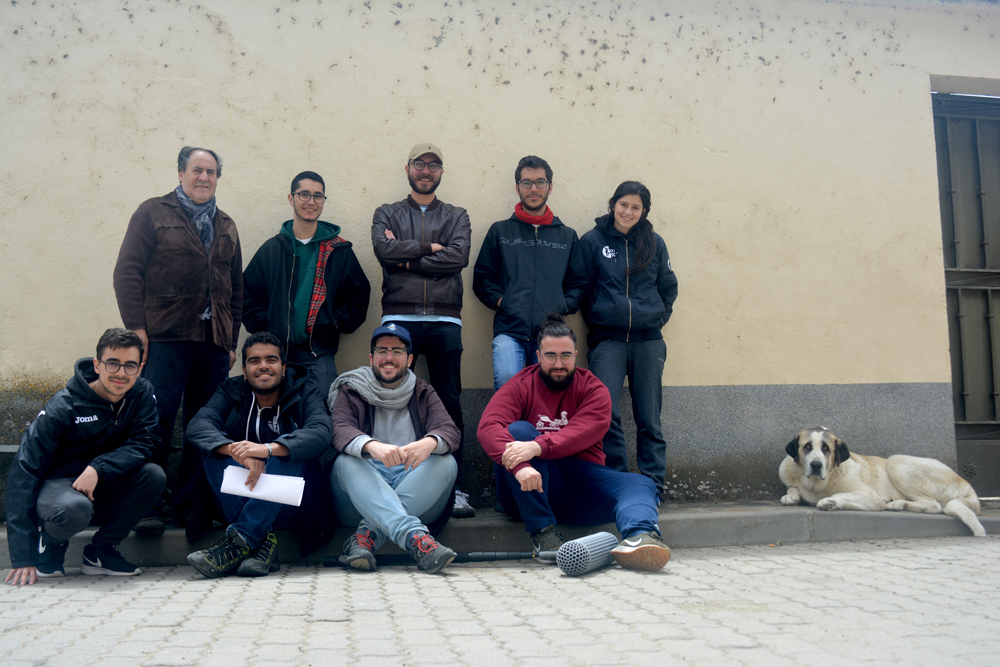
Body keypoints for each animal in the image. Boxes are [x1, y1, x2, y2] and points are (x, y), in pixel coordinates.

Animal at [780, 428, 984, 536]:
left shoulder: (869, 496)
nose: (816, 464)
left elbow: (841, 494)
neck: (817, 485)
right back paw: (895, 503)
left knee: (934, 505)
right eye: (807, 447)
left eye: (826, 449)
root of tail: (969, 487)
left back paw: (895, 504)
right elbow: (792, 488)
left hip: (897, 462)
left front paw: (830, 501)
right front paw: (791, 497)